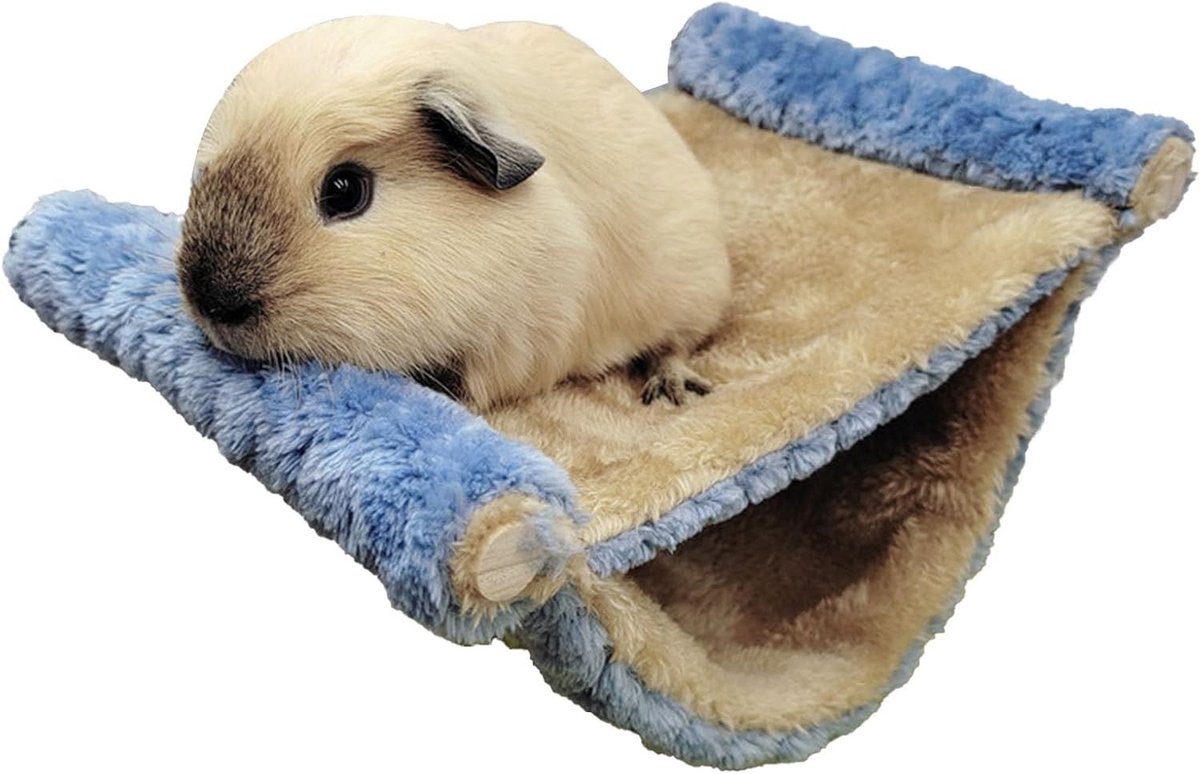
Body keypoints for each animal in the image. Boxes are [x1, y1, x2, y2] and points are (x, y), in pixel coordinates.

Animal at [176, 16, 732, 409]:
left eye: (344, 191)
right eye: (206, 172)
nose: (212, 306)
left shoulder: (517, 347)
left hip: (694, 294)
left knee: (675, 345)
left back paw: (673, 393)